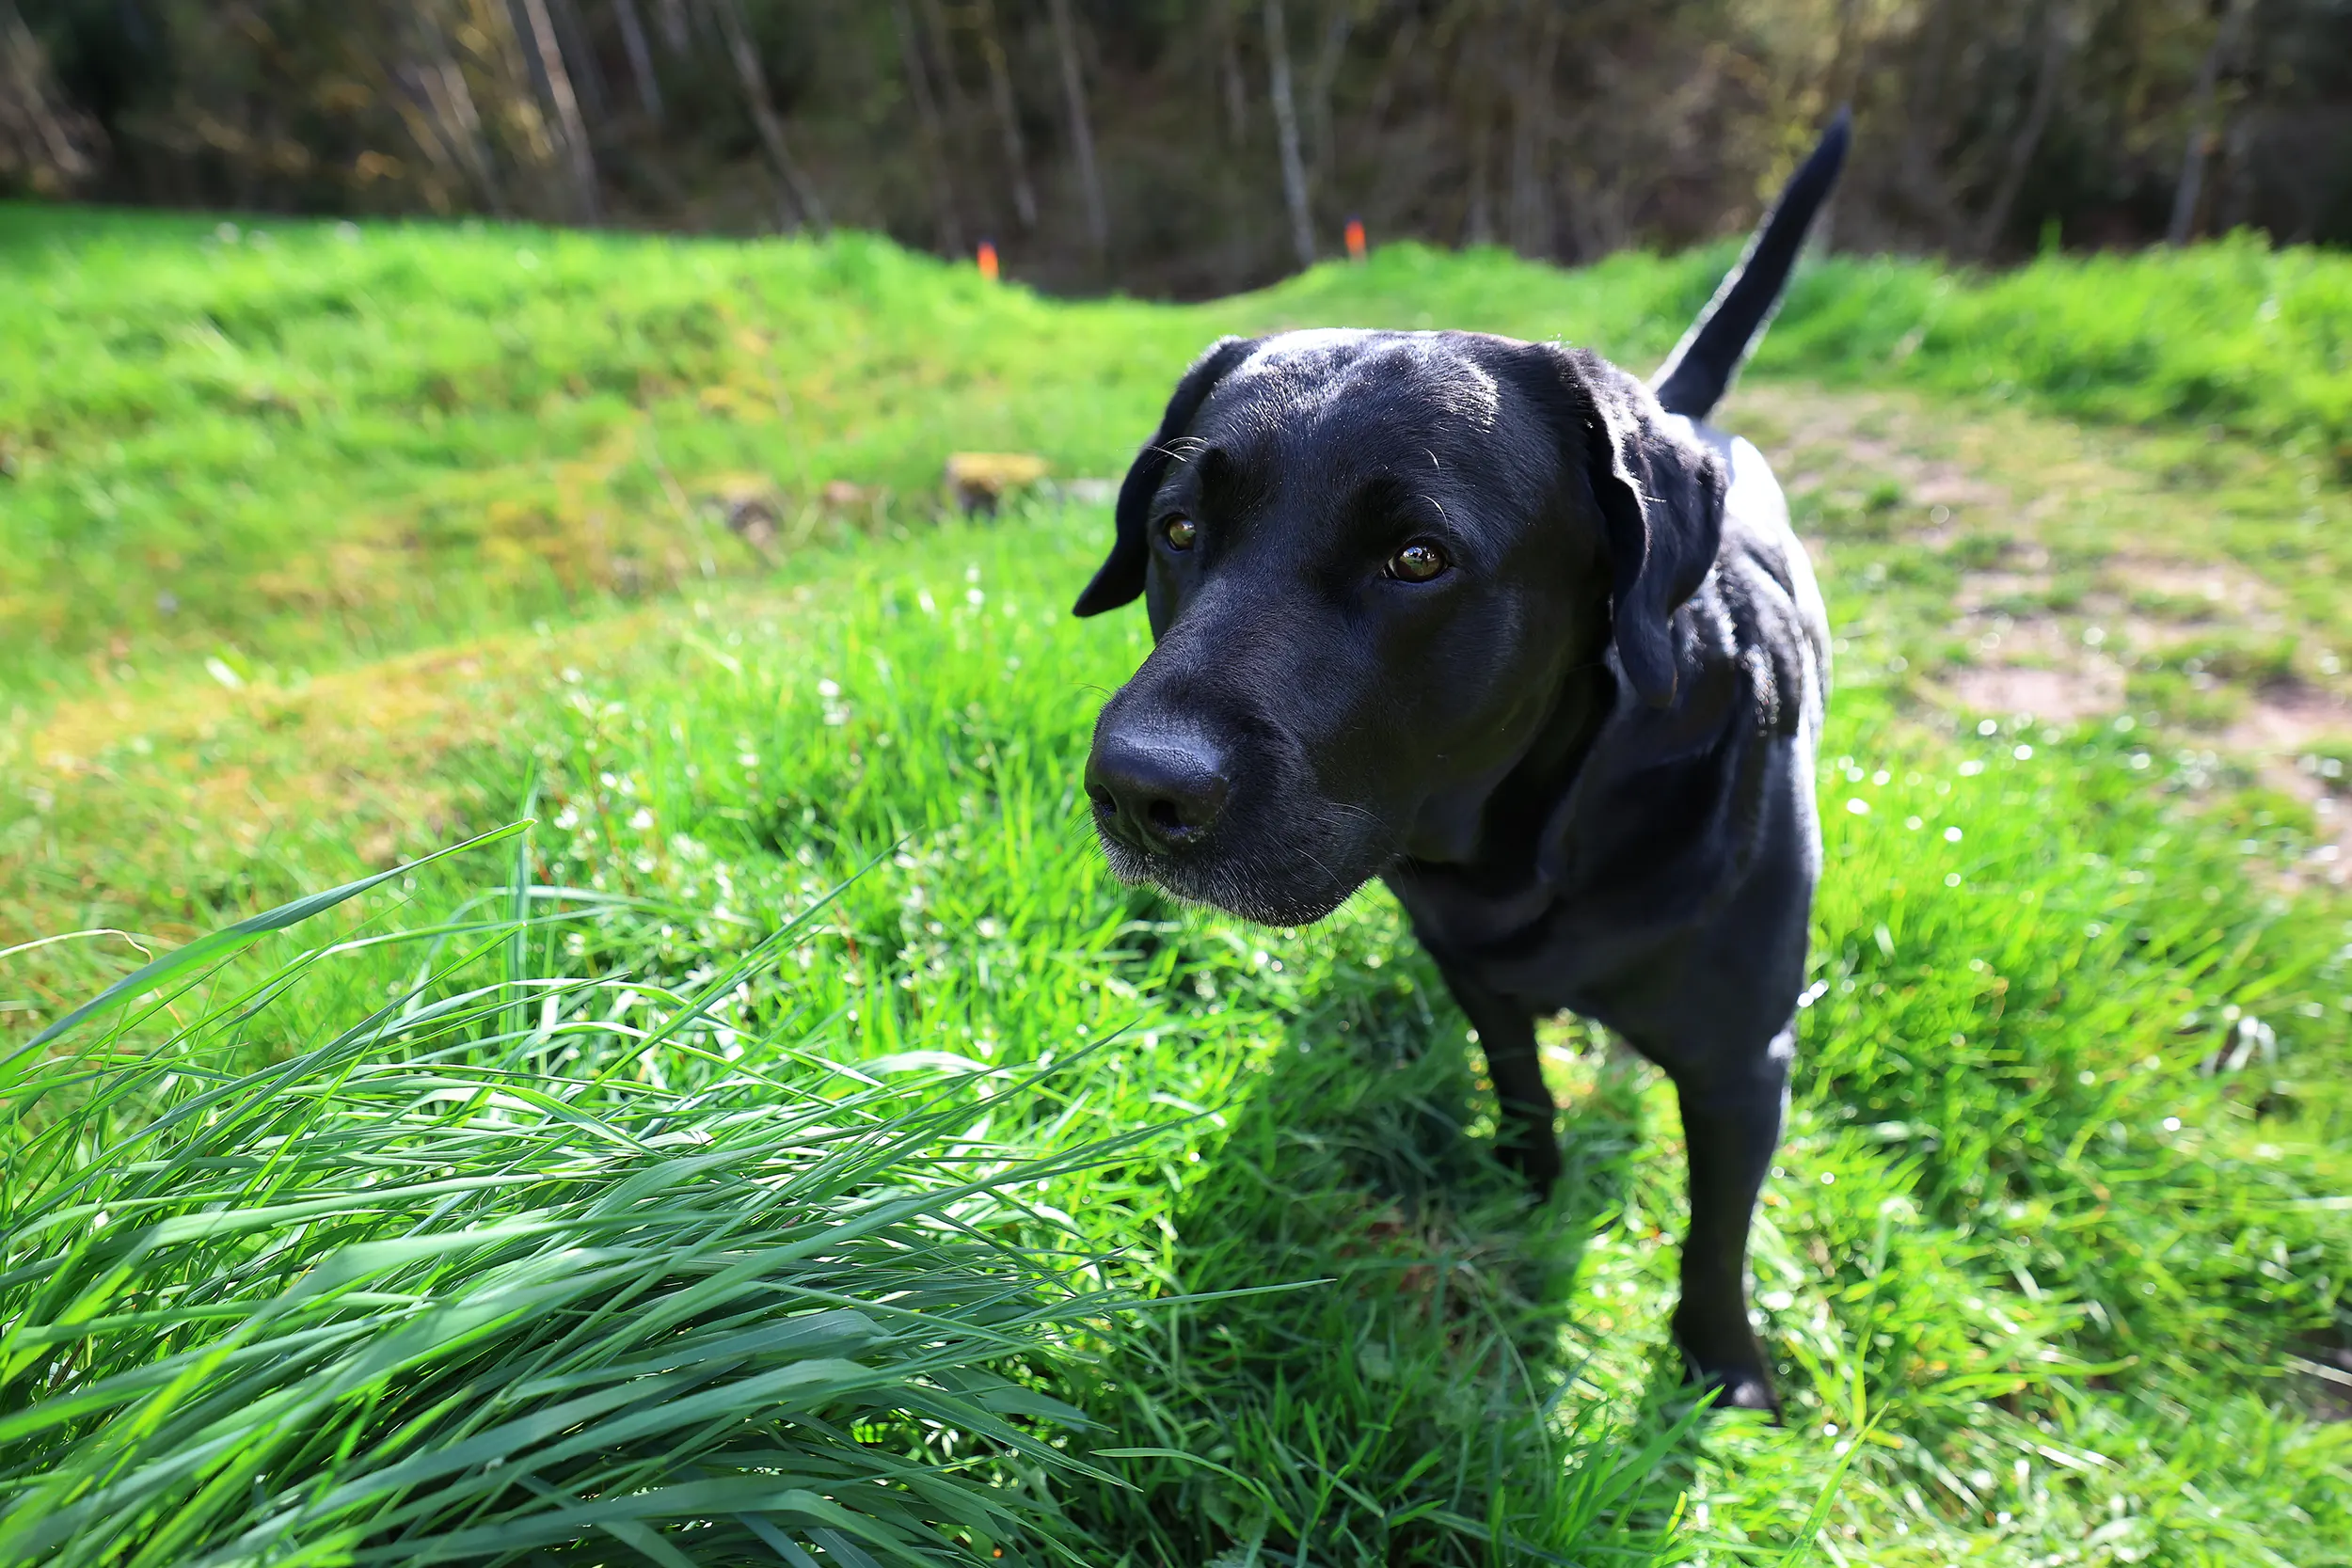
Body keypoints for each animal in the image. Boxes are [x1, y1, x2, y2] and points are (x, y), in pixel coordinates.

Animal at [1077, 116, 1844, 1419]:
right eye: (1177, 530)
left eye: (1417, 557)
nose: (1136, 787)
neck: (1538, 841)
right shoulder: (1474, 972)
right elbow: (1518, 1074)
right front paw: (1527, 1178)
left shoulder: (1744, 1066)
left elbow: (1715, 1232)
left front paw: (1720, 1361)